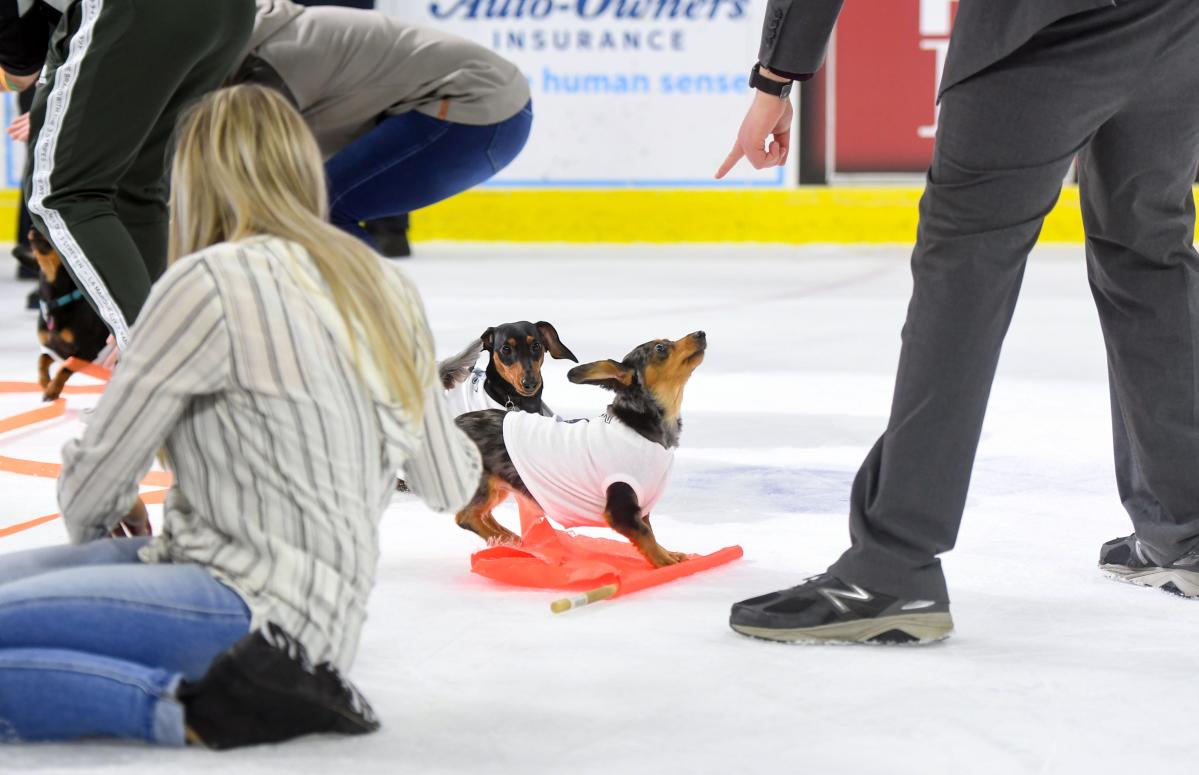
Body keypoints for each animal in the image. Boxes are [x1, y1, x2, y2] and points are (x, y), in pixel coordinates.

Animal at [31, 229, 109, 400]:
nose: (34, 227)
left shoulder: (87, 352)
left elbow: (65, 368)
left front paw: (52, 390)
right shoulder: (52, 349)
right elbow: (41, 360)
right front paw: (45, 383)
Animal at [453, 331, 705, 568]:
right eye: (660, 348)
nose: (701, 333)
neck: (642, 428)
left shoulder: (641, 509)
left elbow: (651, 534)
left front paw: (670, 554)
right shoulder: (621, 509)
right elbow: (646, 536)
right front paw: (665, 562)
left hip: (498, 486)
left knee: (483, 514)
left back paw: (512, 539)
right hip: (481, 483)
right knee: (465, 517)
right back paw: (508, 539)